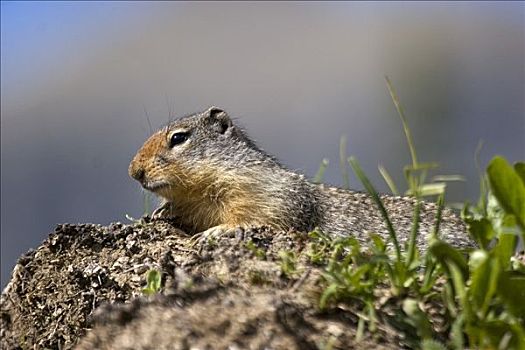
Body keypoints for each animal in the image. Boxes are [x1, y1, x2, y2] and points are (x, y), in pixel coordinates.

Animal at [129, 106, 472, 249]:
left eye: (178, 138)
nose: (134, 171)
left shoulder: (263, 190)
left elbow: (261, 216)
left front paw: (216, 232)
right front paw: (161, 212)